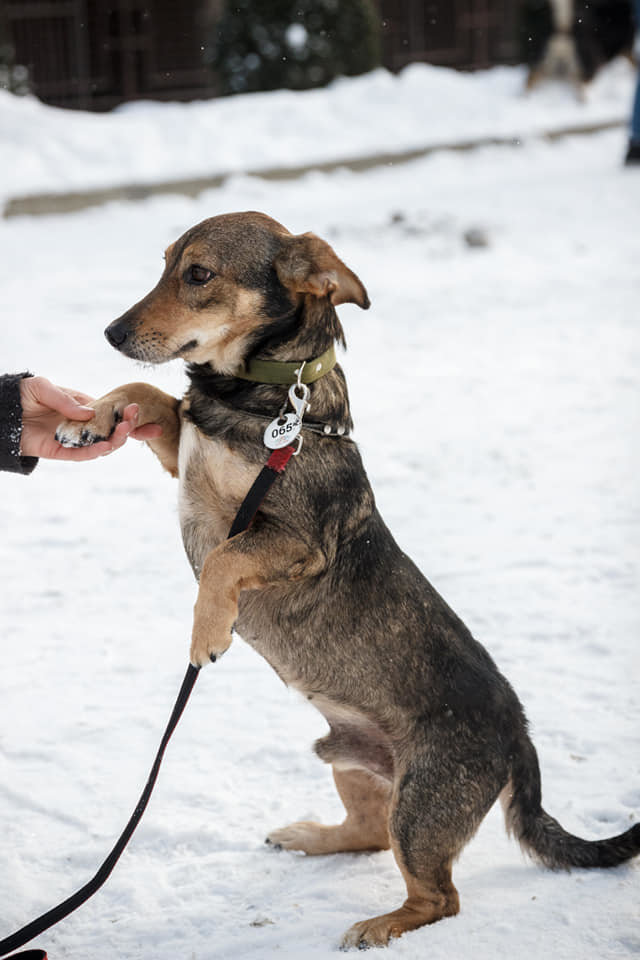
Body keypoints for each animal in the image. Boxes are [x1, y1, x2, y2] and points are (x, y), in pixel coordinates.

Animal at [56, 210, 640, 944]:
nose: (111, 333)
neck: (269, 400)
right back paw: (310, 837)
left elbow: (221, 561)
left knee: (438, 897)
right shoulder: (187, 463)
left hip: (421, 807)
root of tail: (520, 733)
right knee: (368, 835)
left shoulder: (290, 539)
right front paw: (99, 414)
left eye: (198, 274)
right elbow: (152, 397)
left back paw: (380, 926)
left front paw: (206, 632)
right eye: (164, 265)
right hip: (357, 769)